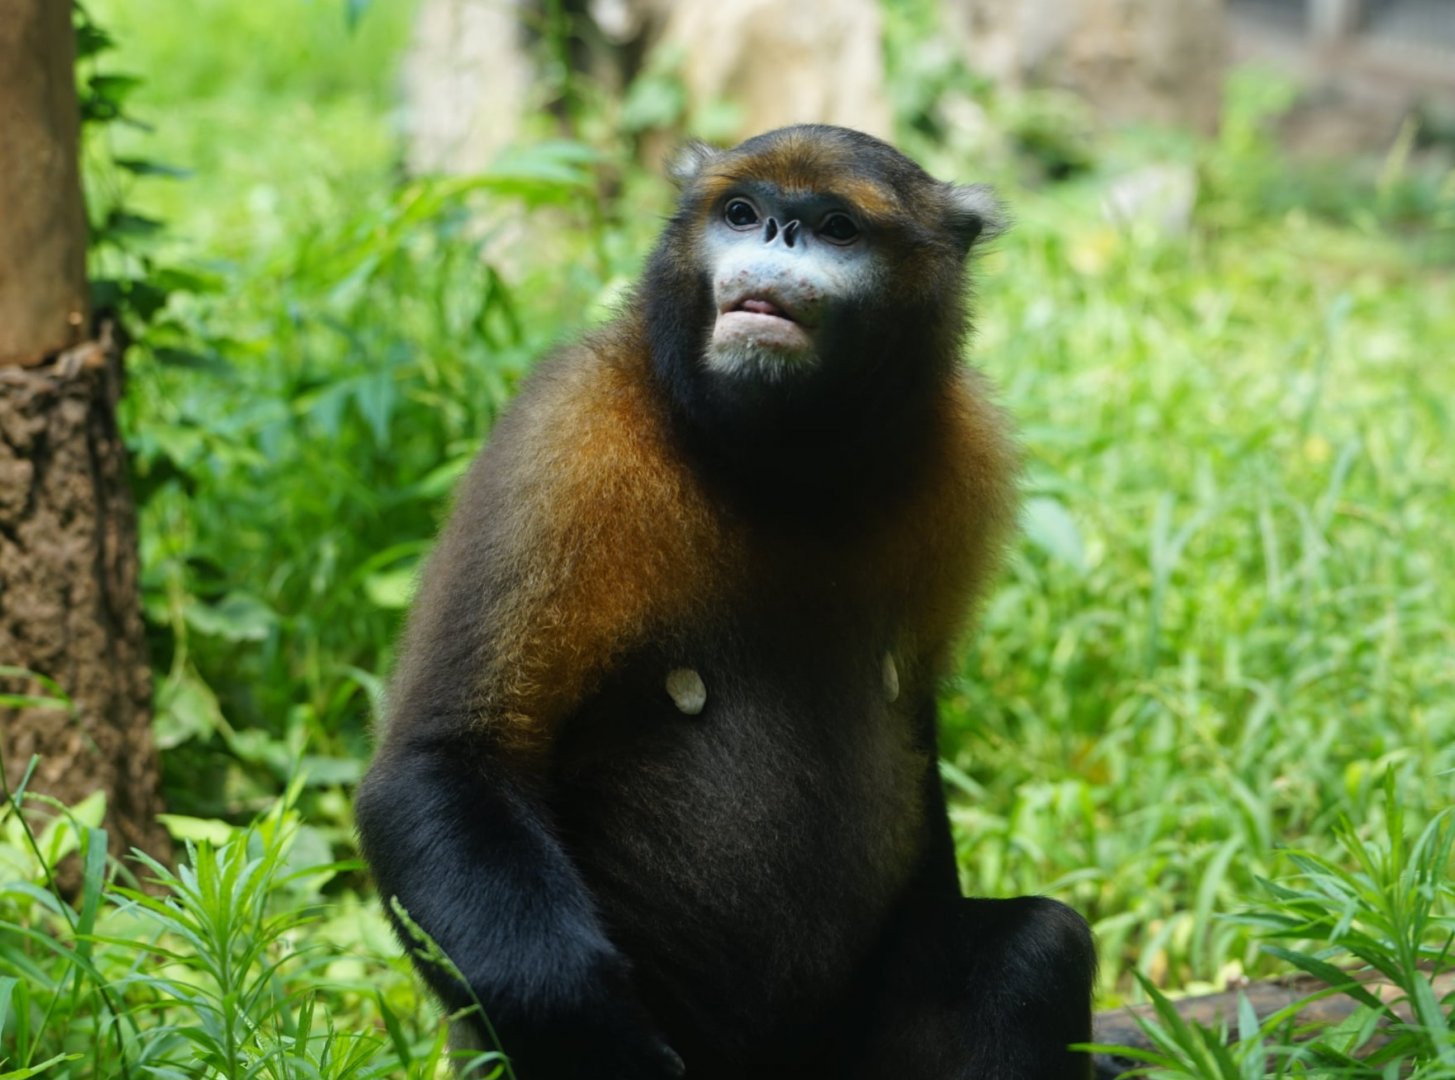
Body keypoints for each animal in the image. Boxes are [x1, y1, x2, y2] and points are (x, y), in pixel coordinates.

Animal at [355, 124, 1095, 1080]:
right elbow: (442, 760)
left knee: (1042, 946)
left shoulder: (963, 444)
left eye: (835, 228)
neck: (780, 472)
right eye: (741, 213)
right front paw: (596, 1033)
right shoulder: (560, 438)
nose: (776, 237)